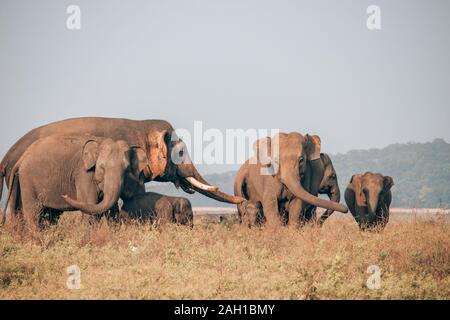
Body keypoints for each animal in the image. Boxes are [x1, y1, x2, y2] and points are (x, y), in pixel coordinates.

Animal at [4, 134, 148, 230]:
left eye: (127, 169)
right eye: (101, 168)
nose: (64, 195)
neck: (99, 142)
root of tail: (21, 158)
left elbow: (110, 210)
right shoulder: (83, 174)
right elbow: (91, 206)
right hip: (27, 180)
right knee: (33, 212)